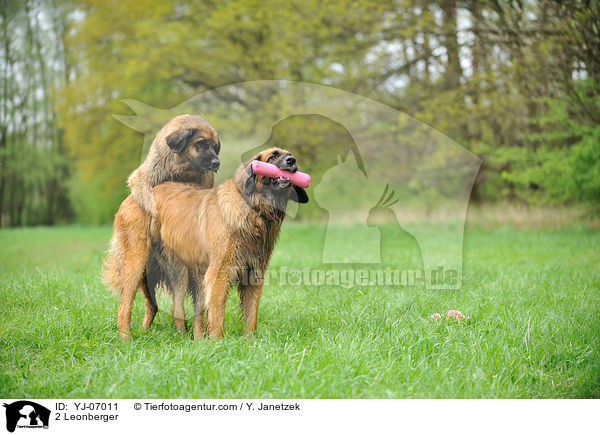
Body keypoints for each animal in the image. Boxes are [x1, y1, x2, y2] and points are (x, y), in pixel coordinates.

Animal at [102, 115, 220, 340]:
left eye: (215, 147)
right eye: (201, 144)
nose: (217, 162)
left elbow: (199, 311)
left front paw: (201, 338)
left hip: (166, 271)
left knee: (163, 307)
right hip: (136, 263)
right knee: (125, 306)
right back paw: (126, 338)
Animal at [149, 148, 310, 338]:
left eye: (289, 154)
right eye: (273, 156)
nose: (292, 160)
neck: (253, 208)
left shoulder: (253, 273)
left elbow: (250, 313)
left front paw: (250, 340)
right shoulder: (219, 272)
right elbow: (217, 311)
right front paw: (217, 341)